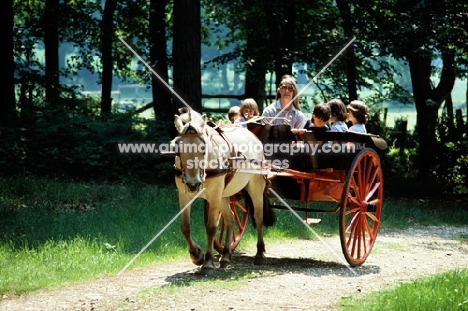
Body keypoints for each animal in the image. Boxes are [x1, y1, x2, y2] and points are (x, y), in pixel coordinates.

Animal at [172, 109, 274, 276]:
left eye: (203, 148)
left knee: (258, 217)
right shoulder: (184, 195)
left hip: (255, 187)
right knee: (230, 218)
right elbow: (185, 227)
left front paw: (207, 262)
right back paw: (226, 255)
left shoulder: (214, 195)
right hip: (224, 196)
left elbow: (211, 227)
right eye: (178, 149)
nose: (193, 183)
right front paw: (196, 255)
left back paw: (259, 254)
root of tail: (254, 137)